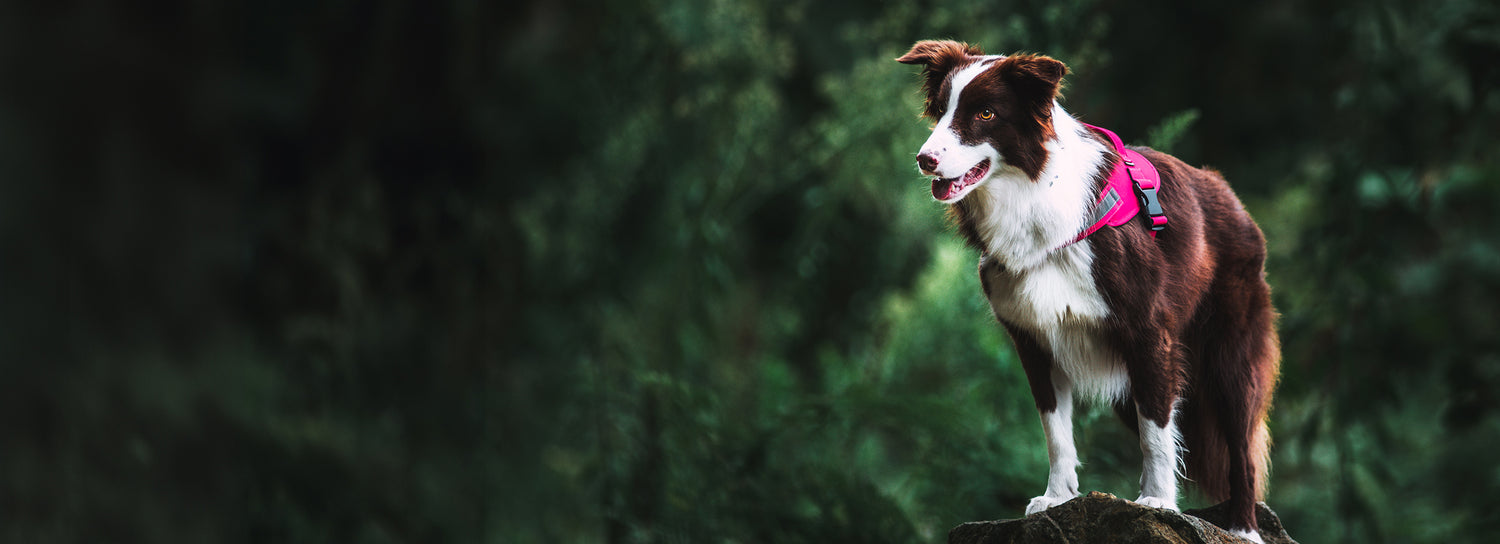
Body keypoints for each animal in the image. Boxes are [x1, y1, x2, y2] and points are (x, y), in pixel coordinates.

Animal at [894, 40, 1284, 542]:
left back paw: (1243, 526)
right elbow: (1057, 431)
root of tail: (1229, 195)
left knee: (1241, 442)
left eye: (985, 113)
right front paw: (1058, 498)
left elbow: (1157, 432)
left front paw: (1158, 503)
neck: (1032, 197)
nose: (925, 159)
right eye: (940, 110)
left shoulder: (1148, 335)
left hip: (1229, 354)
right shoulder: (1033, 339)